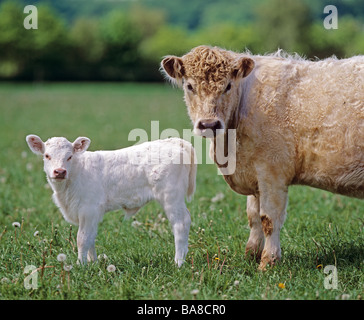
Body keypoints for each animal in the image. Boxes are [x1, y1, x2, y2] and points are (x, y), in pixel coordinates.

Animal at [162, 45, 364, 270]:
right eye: (189, 86)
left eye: (228, 86)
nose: (209, 124)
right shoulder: (254, 174)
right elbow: (253, 217)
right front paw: (251, 255)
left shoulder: (272, 172)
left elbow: (269, 219)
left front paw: (268, 261)